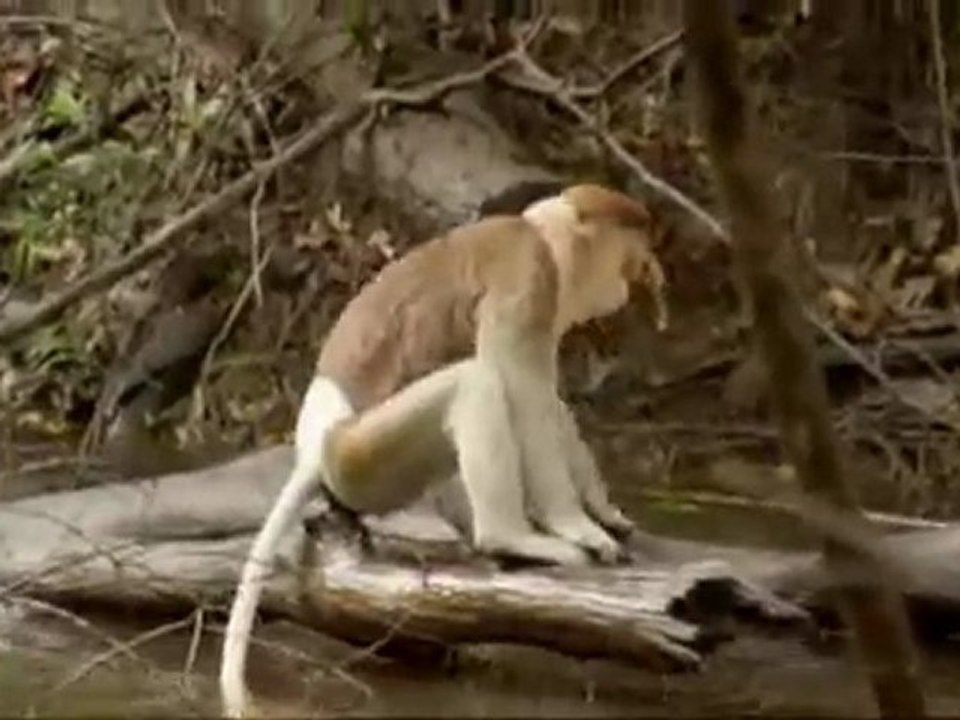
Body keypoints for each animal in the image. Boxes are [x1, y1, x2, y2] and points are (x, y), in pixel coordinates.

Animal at [219, 184, 666, 718]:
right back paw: (509, 537)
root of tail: (314, 444)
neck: (540, 233)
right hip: (363, 458)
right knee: (475, 383)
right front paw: (582, 529)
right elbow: (525, 394)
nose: (645, 271)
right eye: (632, 244)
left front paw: (606, 510)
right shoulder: (526, 278)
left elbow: (546, 403)